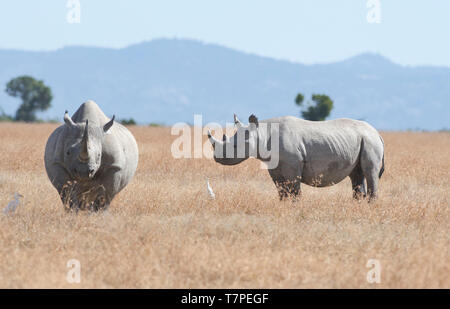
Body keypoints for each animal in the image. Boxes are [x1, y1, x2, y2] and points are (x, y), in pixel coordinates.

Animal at [209, 114, 384, 201]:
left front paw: (296, 207)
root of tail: (377, 133)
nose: (217, 158)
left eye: (234, 147)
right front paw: (284, 205)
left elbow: (294, 190)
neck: (262, 134)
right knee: (356, 175)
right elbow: (281, 190)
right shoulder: (274, 166)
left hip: (370, 141)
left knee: (370, 173)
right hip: (361, 140)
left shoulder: (292, 165)